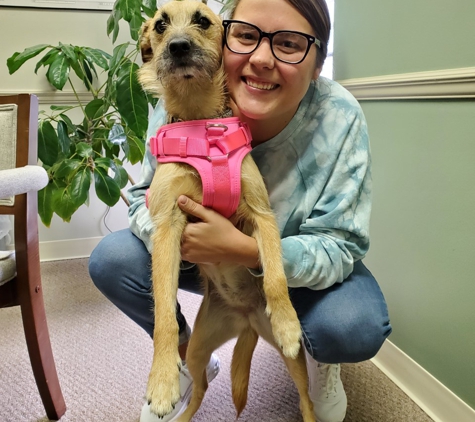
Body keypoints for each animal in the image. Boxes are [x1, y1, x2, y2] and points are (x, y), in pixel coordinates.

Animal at [138, 0, 316, 422]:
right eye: (160, 25)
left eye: (202, 20)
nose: (179, 47)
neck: (203, 127)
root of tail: (246, 318)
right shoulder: (167, 227)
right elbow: (164, 315)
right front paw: (162, 380)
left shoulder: (262, 215)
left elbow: (275, 276)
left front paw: (287, 321)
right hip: (199, 349)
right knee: (200, 388)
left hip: (295, 363)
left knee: (307, 399)